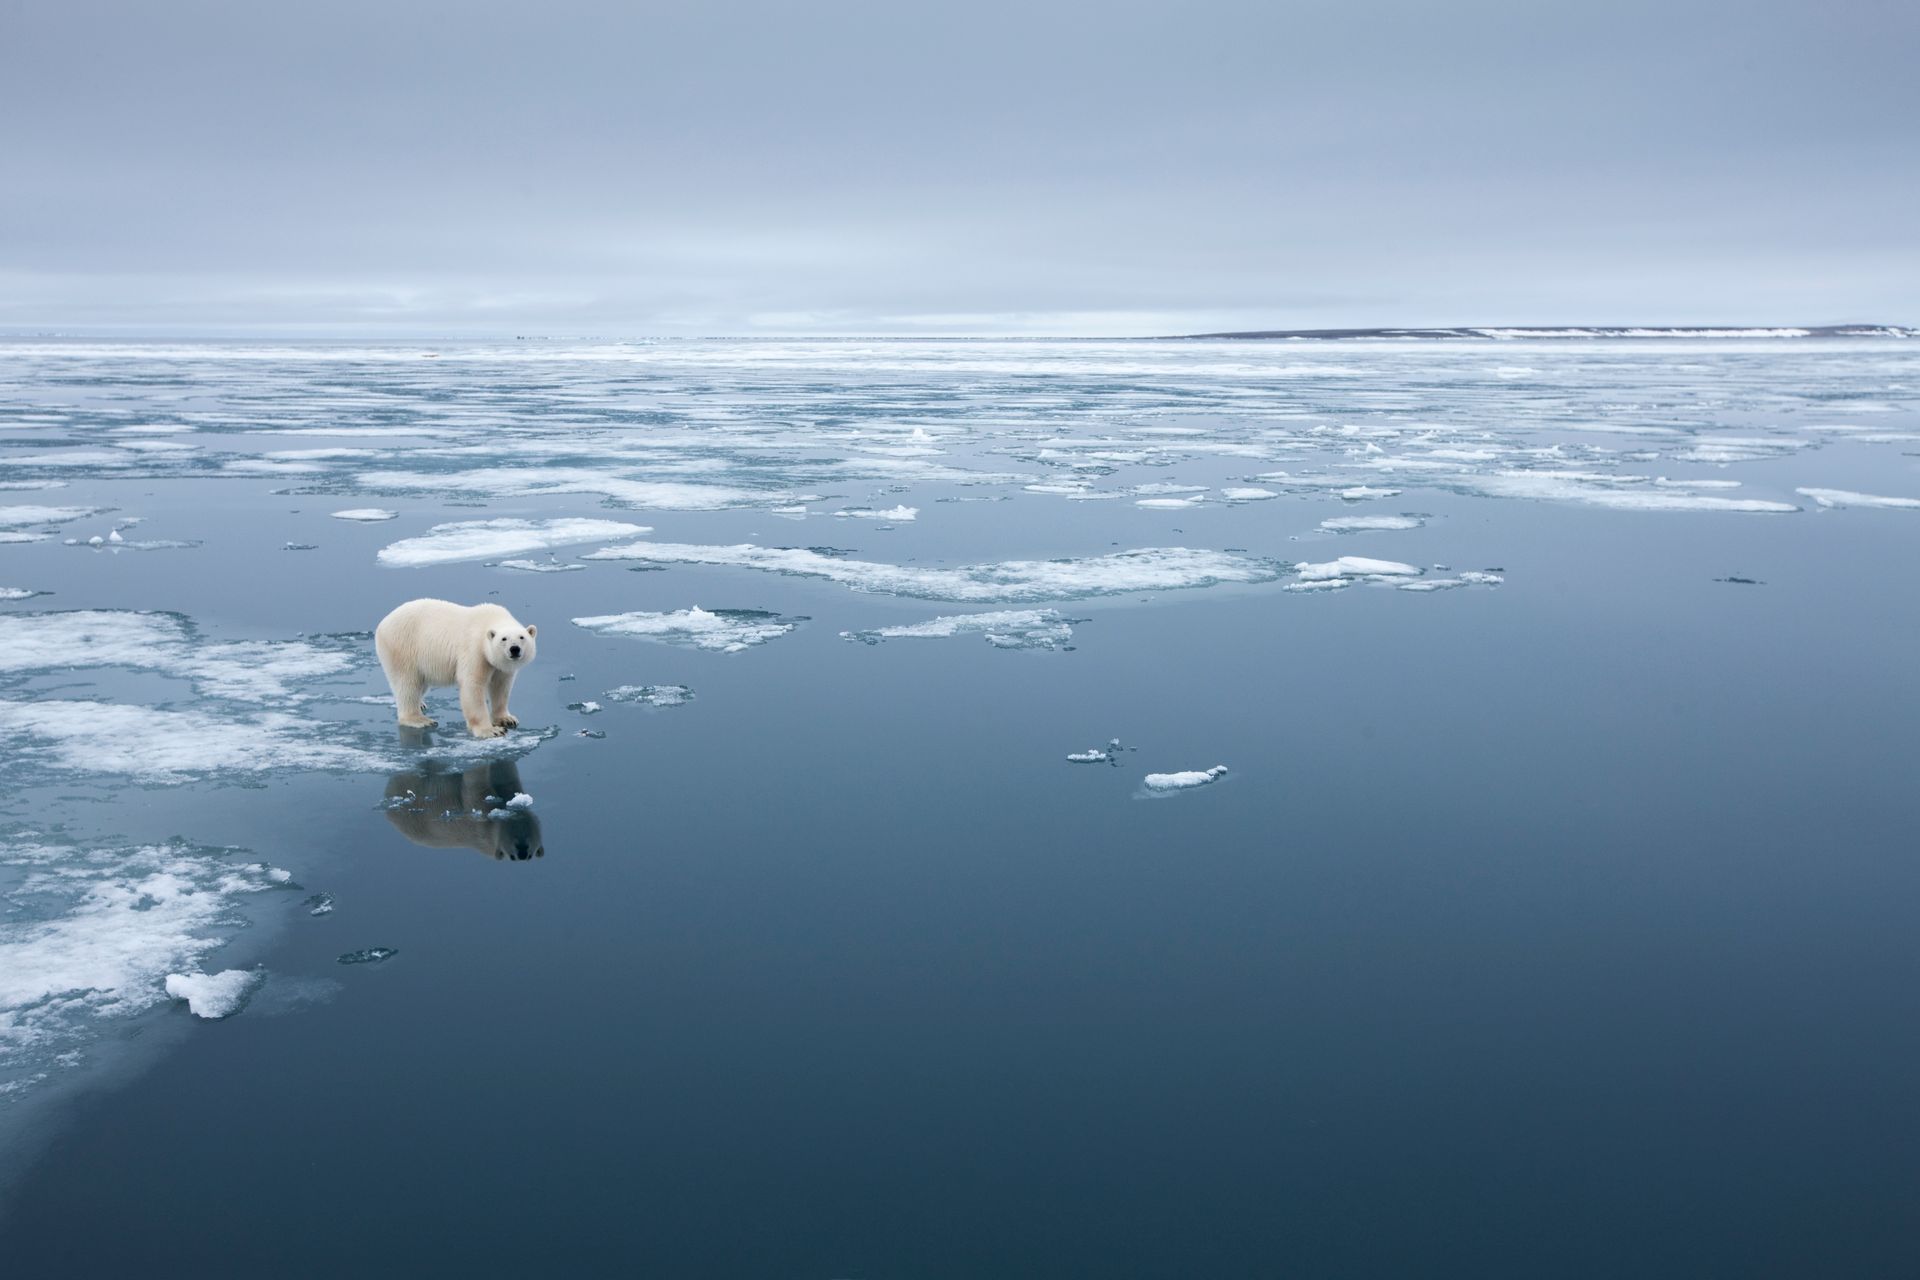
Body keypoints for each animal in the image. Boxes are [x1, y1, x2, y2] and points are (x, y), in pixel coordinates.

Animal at [374, 598, 536, 738]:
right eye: (504, 639)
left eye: (522, 637)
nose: (514, 649)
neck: (490, 619)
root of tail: (383, 623)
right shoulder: (475, 650)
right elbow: (473, 685)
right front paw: (491, 730)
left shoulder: (499, 666)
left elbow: (501, 686)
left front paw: (507, 719)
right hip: (403, 647)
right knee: (408, 683)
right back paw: (419, 720)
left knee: (420, 682)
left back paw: (420, 704)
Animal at [383, 760, 545, 861]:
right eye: (511, 857)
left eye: (530, 855)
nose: (522, 853)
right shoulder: (481, 823)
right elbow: (474, 783)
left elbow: (505, 773)